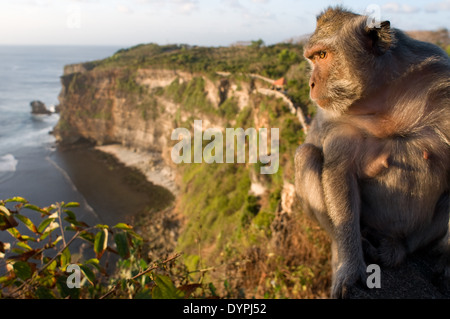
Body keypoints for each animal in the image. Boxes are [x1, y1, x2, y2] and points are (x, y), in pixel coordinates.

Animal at [296, 6, 450, 298]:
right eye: (312, 58)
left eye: (323, 55)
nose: (310, 83)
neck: (382, 98)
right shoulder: (337, 122)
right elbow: (339, 174)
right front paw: (349, 266)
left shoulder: (442, 84)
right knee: (306, 154)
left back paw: (397, 249)